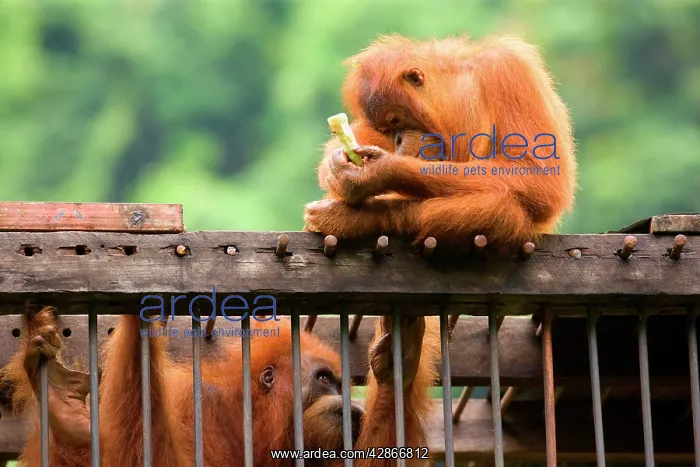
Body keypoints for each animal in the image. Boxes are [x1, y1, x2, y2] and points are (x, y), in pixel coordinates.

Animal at [2, 307, 440, 466]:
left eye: (339, 382)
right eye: (323, 380)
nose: (343, 398)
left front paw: (400, 361)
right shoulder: (197, 406)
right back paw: (66, 412)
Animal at [304, 34, 577, 253]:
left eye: (396, 120)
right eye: (386, 131)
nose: (398, 140)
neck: (454, 94)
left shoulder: (508, 70)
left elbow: (539, 179)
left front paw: (374, 174)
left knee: (498, 208)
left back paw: (363, 217)